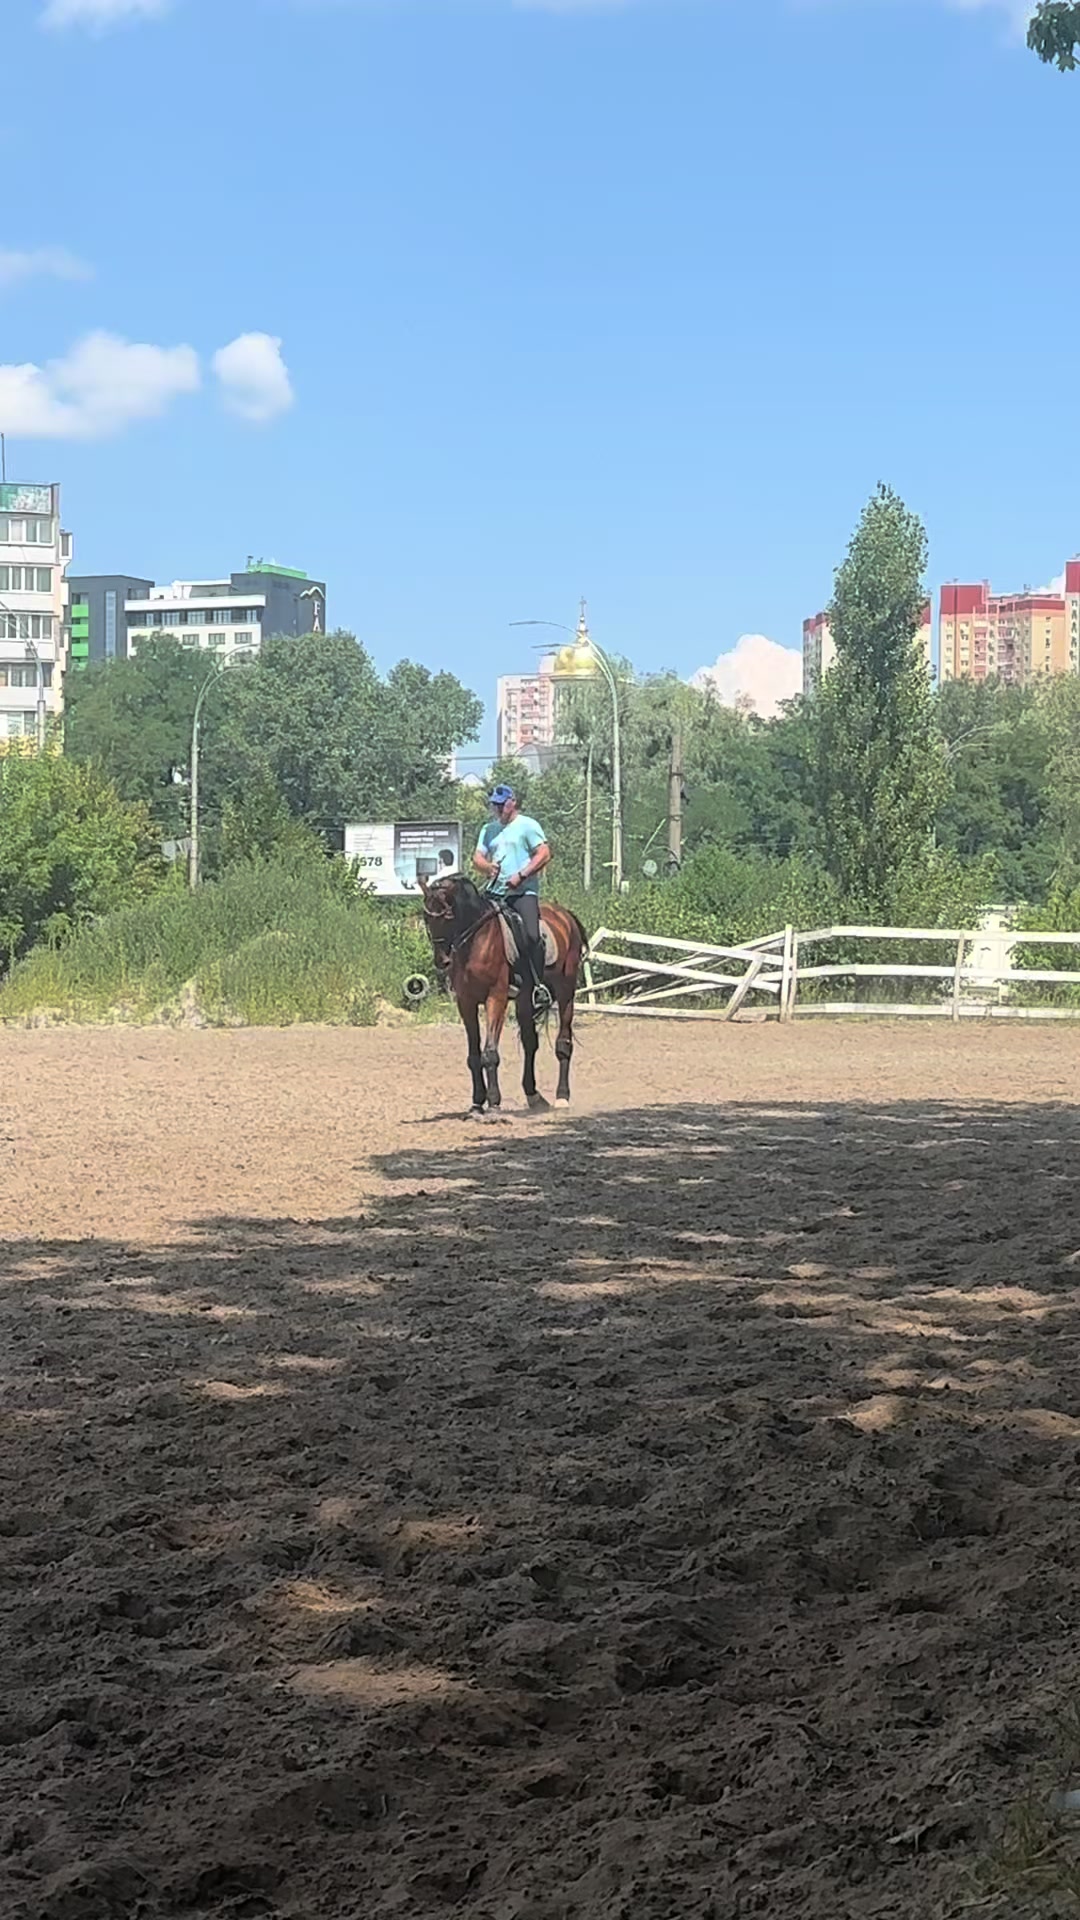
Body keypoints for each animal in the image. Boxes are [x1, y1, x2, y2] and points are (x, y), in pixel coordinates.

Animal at [419, 874, 588, 1116]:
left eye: (448, 916)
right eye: (426, 917)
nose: (441, 960)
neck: (476, 941)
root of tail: (564, 914)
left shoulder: (495, 999)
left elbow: (490, 1053)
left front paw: (494, 1103)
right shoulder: (466, 1002)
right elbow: (474, 1055)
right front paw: (477, 1103)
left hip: (566, 993)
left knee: (564, 1043)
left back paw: (562, 1097)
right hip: (525, 999)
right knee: (530, 1043)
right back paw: (534, 1096)